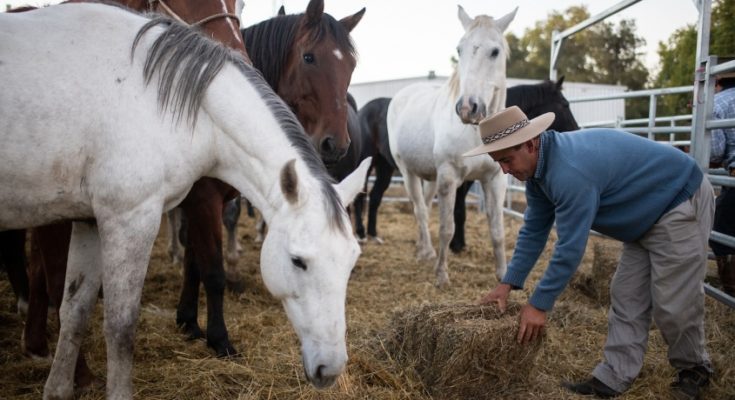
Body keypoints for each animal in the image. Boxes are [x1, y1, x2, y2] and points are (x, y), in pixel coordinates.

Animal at [0, 3, 368, 400]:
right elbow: (123, 325)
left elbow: (76, 311)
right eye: (298, 261)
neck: (157, 96)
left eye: (351, 263)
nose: (331, 368)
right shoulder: (133, 217)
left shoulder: (92, 221)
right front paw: (216, 339)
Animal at [388, 5, 516, 288]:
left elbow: (497, 231)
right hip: (407, 172)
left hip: (429, 177)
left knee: (423, 208)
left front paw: (503, 274)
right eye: (460, 49)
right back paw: (427, 253)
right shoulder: (448, 177)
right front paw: (441, 275)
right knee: (420, 210)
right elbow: (447, 229)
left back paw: (421, 247)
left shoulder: (495, 179)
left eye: (495, 51)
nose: (467, 108)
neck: (476, 132)